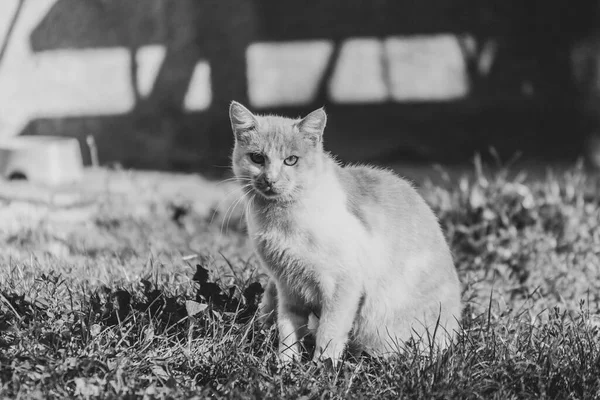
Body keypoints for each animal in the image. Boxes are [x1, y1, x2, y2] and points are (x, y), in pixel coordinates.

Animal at [227, 101, 462, 364]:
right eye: (257, 158)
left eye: (291, 160)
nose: (270, 180)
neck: (281, 219)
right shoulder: (287, 287)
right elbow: (288, 332)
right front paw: (285, 365)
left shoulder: (341, 285)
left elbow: (329, 332)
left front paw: (320, 368)